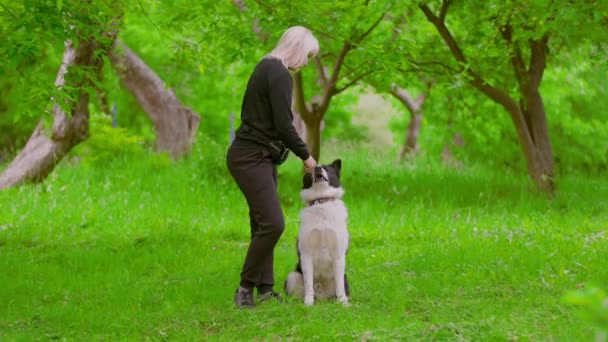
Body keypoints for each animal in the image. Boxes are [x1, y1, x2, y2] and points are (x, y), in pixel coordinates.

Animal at [284, 159, 352, 306]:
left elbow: (340, 287)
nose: (318, 168)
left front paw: (343, 303)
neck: (321, 202)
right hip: (292, 276)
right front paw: (308, 303)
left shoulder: (338, 255)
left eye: (326, 168)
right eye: (311, 170)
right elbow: (308, 284)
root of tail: (322, 297)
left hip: (345, 279)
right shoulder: (306, 254)